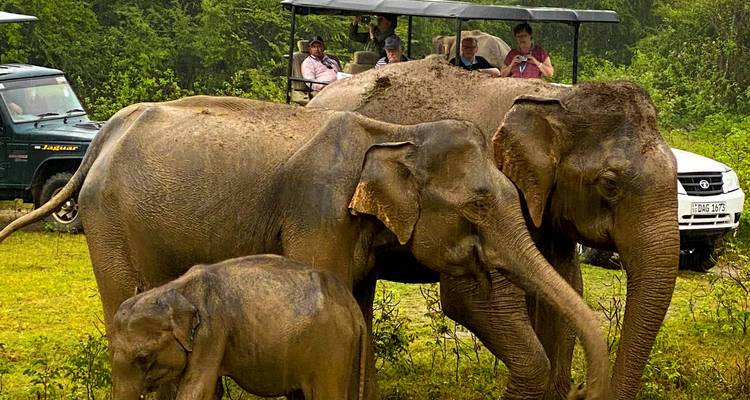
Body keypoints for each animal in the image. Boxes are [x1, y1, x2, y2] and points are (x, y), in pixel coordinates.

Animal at [111, 254, 369, 400]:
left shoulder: (212, 331)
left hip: (331, 347)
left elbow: (197, 389)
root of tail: (351, 302)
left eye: (143, 358)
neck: (173, 289)